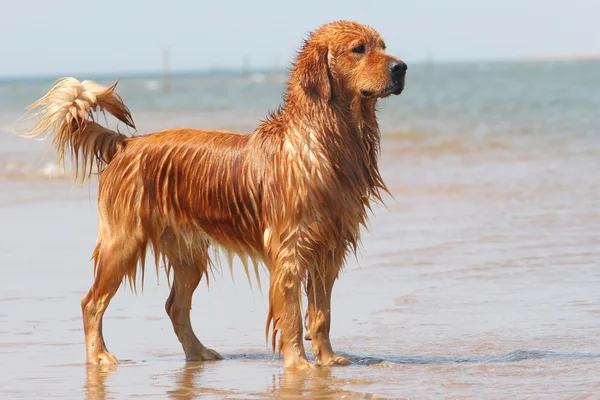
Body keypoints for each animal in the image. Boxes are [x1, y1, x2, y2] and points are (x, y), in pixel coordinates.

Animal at [23, 18, 408, 368]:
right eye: (359, 49)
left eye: (383, 45)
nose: (401, 67)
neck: (324, 139)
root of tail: (126, 143)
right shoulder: (290, 249)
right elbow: (292, 316)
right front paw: (299, 365)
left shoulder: (329, 248)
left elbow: (322, 313)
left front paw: (328, 359)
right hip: (123, 241)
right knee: (92, 302)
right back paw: (99, 356)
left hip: (188, 252)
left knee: (174, 306)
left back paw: (198, 352)